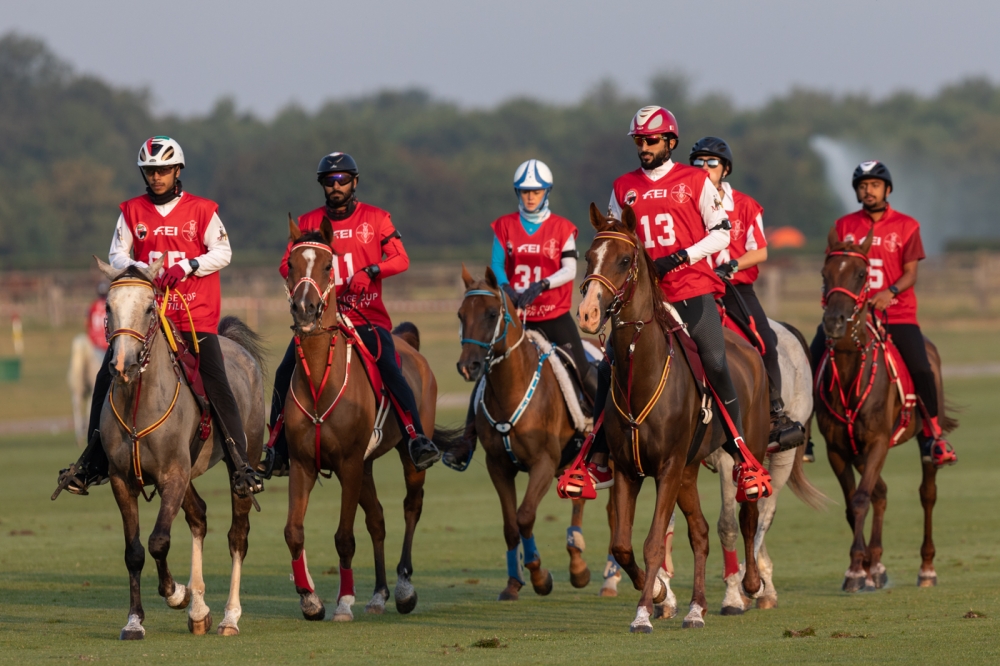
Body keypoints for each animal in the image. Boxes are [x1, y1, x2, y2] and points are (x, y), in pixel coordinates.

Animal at [90, 255, 266, 640]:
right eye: (108, 307)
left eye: (148, 308)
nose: (121, 365)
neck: (139, 404)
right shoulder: (122, 480)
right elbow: (135, 551)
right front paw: (135, 621)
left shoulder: (172, 475)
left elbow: (159, 540)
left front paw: (176, 593)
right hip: (186, 473)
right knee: (198, 515)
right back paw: (200, 611)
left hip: (238, 462)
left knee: (238, 536)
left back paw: (229, 617)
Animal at [280, 220, 456, 620]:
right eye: (291, 265)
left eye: (327, 266)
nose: (304, 308)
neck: (320, 382)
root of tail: (409, 343)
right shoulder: (303, 464)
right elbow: (294, 531)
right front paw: (309, 599)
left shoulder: (347, 464)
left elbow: (344, 538)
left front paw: (344, 602)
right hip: (366, 466)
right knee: (377, 519)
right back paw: (379, 593)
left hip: (405, 458)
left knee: (411, 507)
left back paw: (404, 588)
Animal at [458, 262, 604, 600]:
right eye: (460, 315)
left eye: (490, 314)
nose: (468, 367)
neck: (511, 389)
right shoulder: (498, 466)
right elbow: (511, 525)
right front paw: (514, 583)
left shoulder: (543, 463)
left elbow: (525, 515)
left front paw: (539, 576)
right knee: (578, 499)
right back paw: (577, 564)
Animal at [576, 204, 768, 632]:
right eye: (588, 257)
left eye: (624, 259)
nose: (587, 314)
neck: (642, 371)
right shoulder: (630, 470)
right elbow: (623, 545)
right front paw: (661, 595)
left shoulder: (666, 467)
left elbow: (651, 544)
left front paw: (643, 614)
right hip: (688, 471)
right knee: (700, 533)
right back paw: (697, 608)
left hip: (744, 449)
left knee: (748, 513)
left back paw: (750, 584)